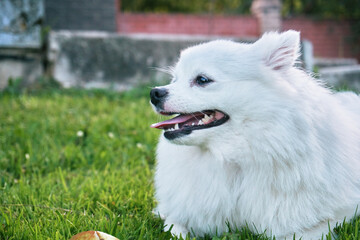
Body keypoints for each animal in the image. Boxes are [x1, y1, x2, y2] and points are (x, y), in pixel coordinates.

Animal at [148, 31, 360, 239]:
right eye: (175, 80)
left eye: (202, 80)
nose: (154, 93)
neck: (234, 158)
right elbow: (175, 228)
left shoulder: (333, 217)